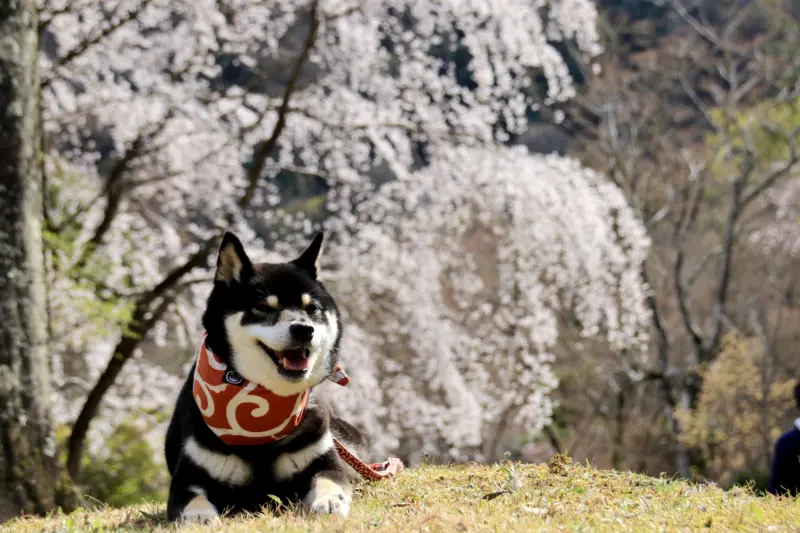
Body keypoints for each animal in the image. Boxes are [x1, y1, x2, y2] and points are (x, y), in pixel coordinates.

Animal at [166, 231, 366, 520]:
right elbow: (194, 500)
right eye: (263, 307)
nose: (304, 329)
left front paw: (329, 500)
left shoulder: (323, 461)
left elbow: (329, 480)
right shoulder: (188, 479)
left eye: (312, 309)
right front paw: (199, 516)